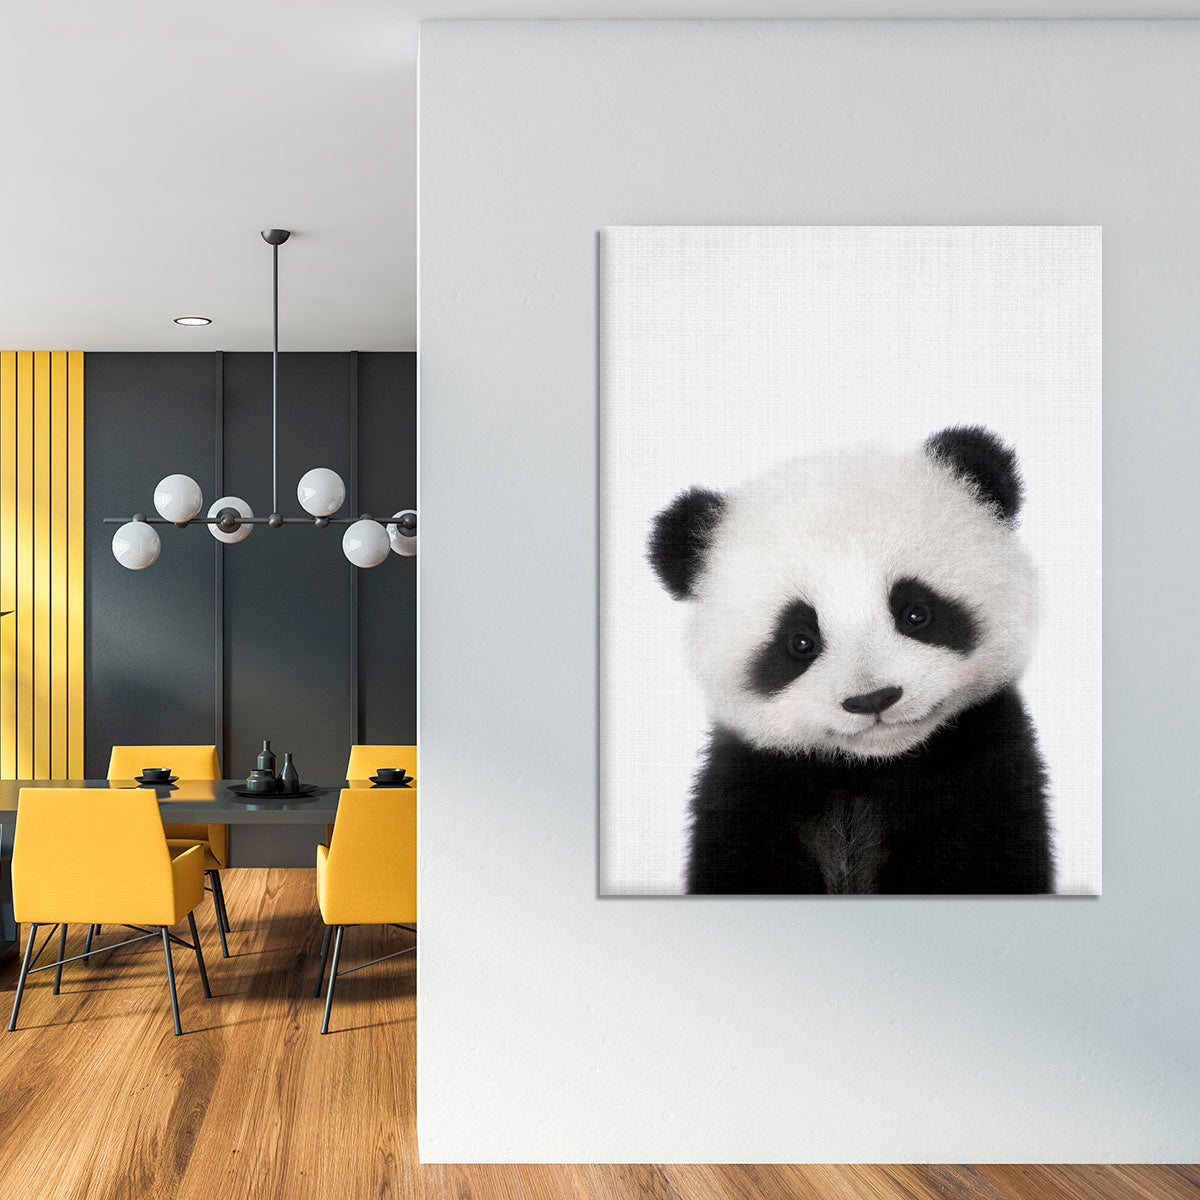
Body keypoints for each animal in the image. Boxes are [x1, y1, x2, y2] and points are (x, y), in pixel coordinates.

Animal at [648, 426, 1054, 895]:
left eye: (916, 613)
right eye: (800, 641)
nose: (873, 699)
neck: (867, 770)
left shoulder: (984, 775)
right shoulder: (749, 789)